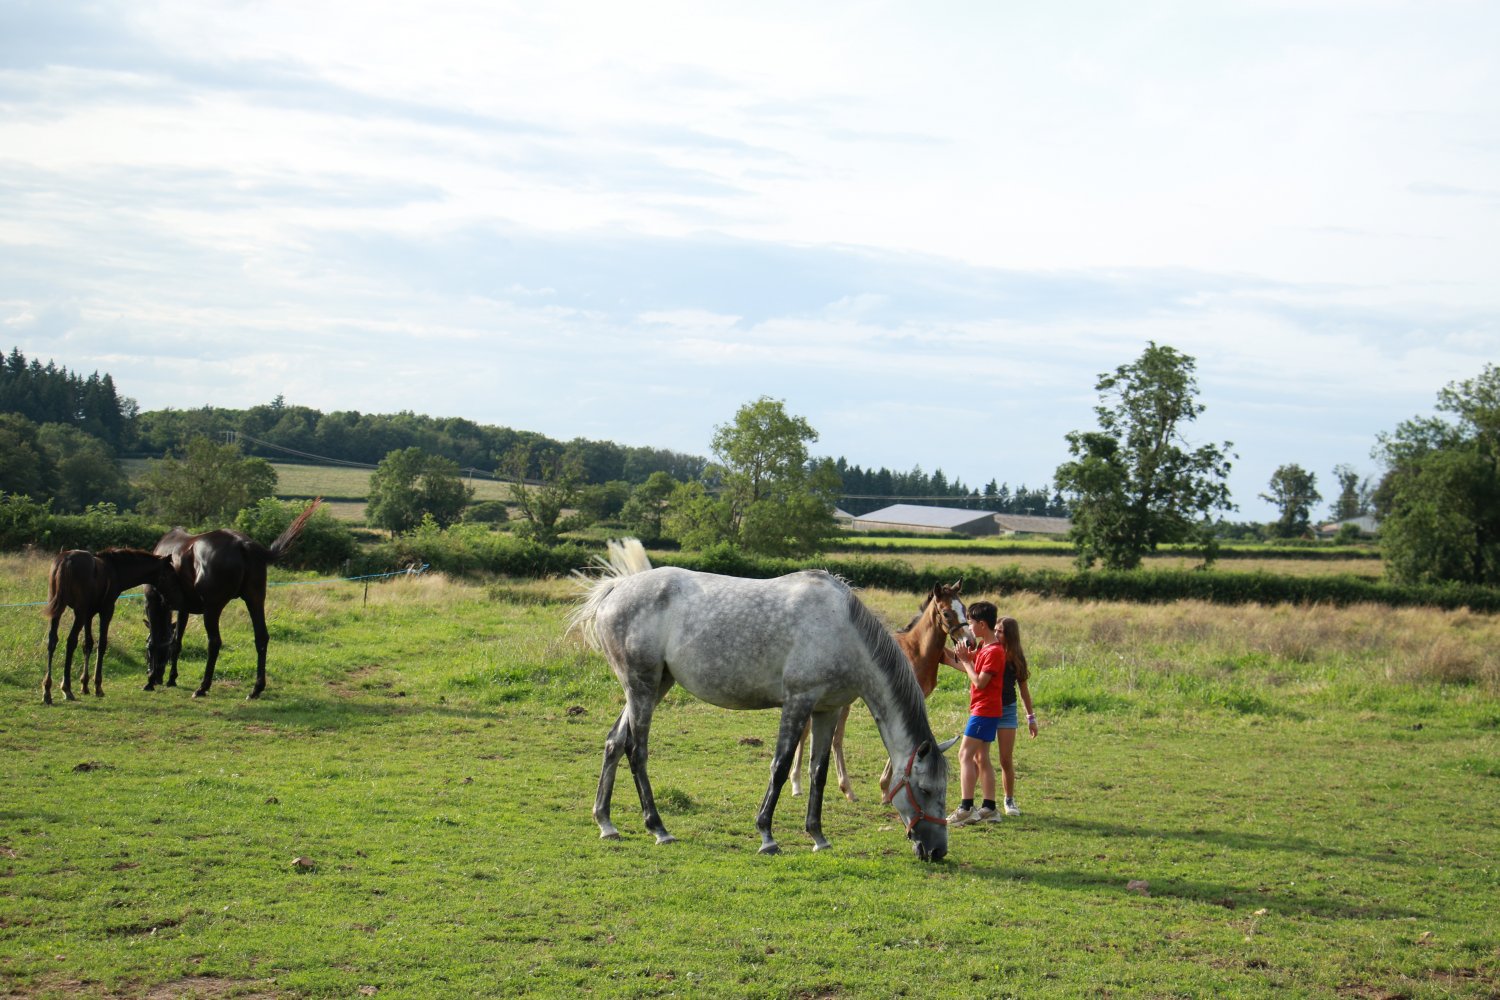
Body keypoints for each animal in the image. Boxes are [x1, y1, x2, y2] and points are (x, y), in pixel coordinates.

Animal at [43, 548, 179, 705]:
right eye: (170, 574)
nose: (173, 599)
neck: (115, 569)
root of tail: (66, 561)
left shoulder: (89, 614)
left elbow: (87, 644)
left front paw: (85, 685)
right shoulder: (106, 610)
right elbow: (101, 644)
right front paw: (98, 686)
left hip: (59, 610)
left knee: (52, 641)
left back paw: (47, 690)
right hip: (79, 612)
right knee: (71, 641)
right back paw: (66, 688)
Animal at [142, 499, 323, 699]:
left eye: (146, 652)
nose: (157, 676)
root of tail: (244, 545)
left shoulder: (152, 601)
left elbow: (156, 640)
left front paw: (150, 681)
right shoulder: (183, 608)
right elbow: (176, 641)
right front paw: (172, 678)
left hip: (212, 608)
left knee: (214, 642)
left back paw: (203, 687)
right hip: (255, 600)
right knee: (261, 638)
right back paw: (256, 689)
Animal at [789, 580, 971, 801]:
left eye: (965, 608)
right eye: (946, 613)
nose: (970, 641)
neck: (917, 650)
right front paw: (885, 788)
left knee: (831, 738)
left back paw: (845, 788)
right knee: (812, 733)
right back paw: (797, 783)